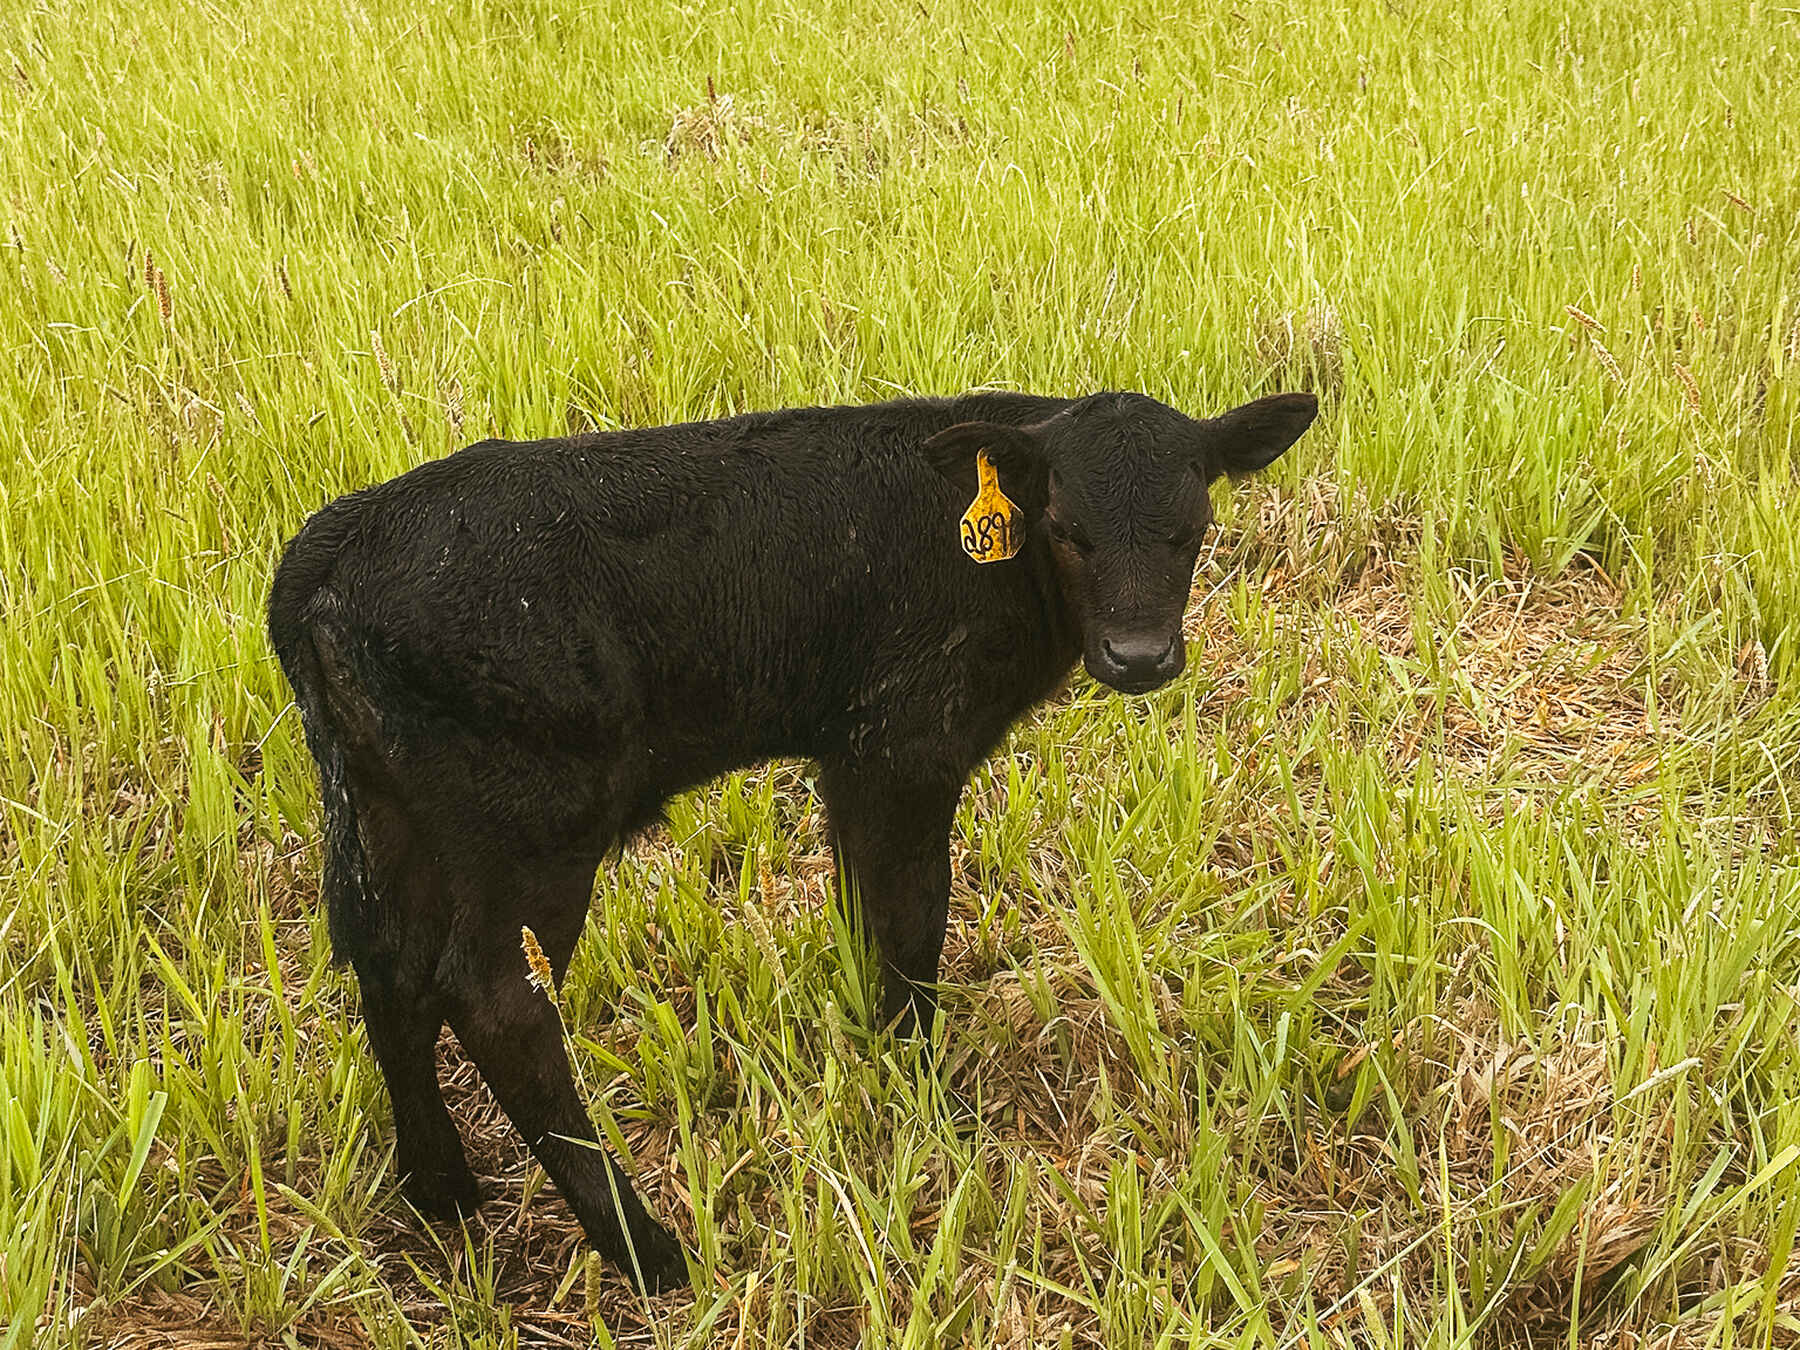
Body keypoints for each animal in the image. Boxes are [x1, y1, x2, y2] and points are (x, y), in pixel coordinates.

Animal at [266, 387, 1318, 1291]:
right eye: (1067, 529)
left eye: (1191, 528)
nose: (1138, 658)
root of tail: (326, 551)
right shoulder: (904, 748)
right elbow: (911, 921)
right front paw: (926, 1100)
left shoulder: (852, 758)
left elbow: (862, 912)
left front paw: (875, 1058)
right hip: (534, 826)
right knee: (496, 1004)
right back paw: (647, 1250)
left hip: (385, 814)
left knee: (388, 967)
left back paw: (439, 1189)